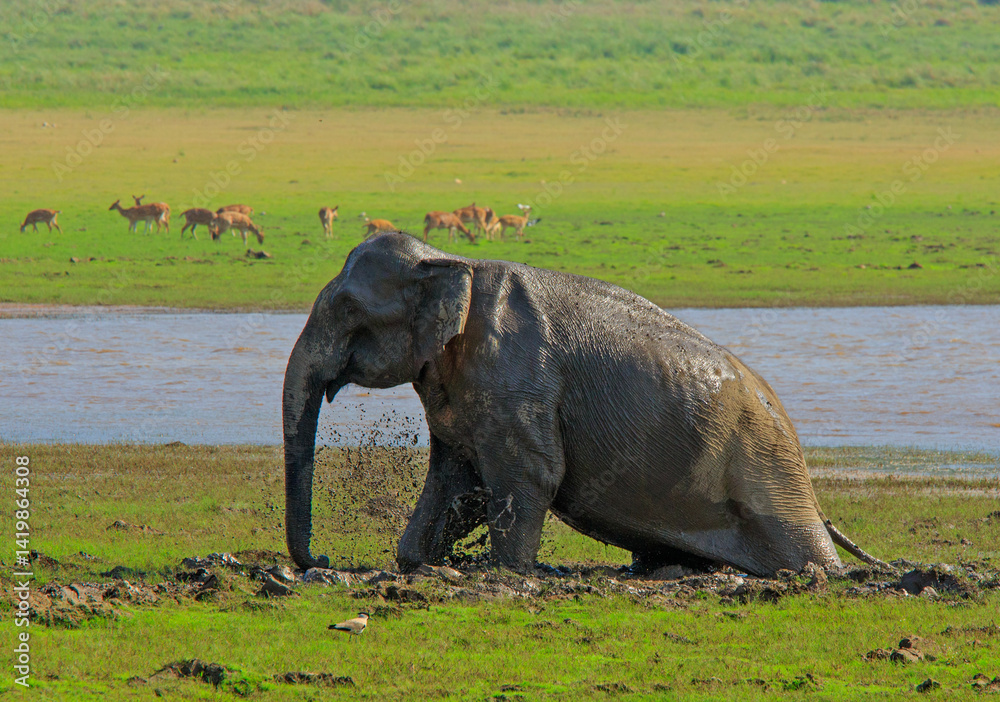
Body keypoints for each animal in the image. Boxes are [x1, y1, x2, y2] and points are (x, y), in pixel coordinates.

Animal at [283, 231, 888, 577]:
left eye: (346, 308)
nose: (324, 561)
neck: (454, 262)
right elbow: (459, 481)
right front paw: (416, 564)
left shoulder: (515, 376)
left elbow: (529, 474)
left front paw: (505, 574)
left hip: (770, 475)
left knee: (802, 554)